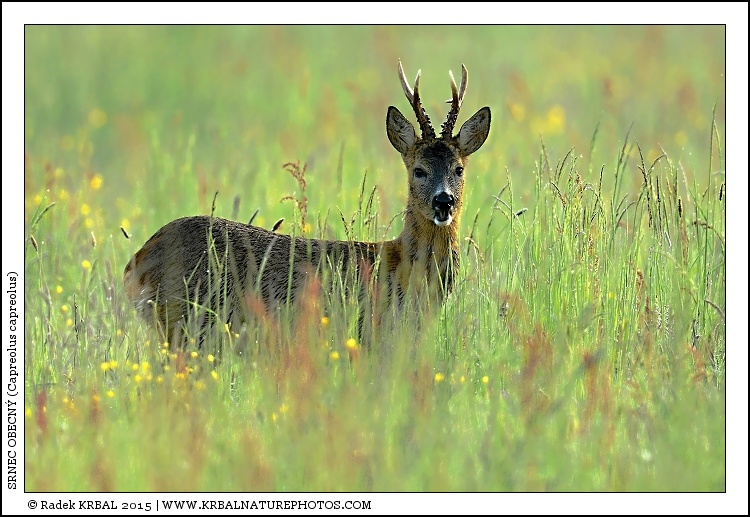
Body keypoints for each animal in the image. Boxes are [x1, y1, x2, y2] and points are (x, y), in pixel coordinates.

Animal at [123, 60, 491, 347]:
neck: (401, 268)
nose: (444, 201)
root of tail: (137, 261)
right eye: (419, 170)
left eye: (459, 169)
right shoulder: (370, 335)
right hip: (185, 323)